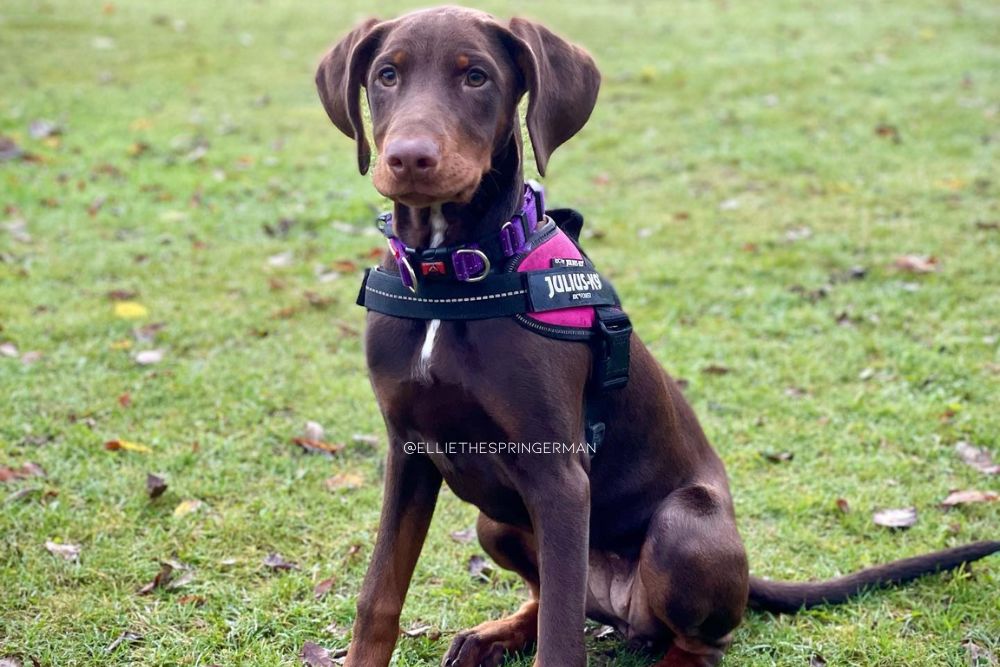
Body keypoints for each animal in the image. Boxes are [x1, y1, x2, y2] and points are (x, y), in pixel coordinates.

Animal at [318, 6, 1000, 667]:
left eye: (477, 77)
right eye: (386, 75)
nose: (409, 158)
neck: (453, 276)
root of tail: (619, 604)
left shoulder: (559, 477)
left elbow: (560, 647)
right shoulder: (407, 450)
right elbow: (378, 597)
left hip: (682, 530)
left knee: (691, 640)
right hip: (497, 522)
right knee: (551, 597)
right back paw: (495, 635)